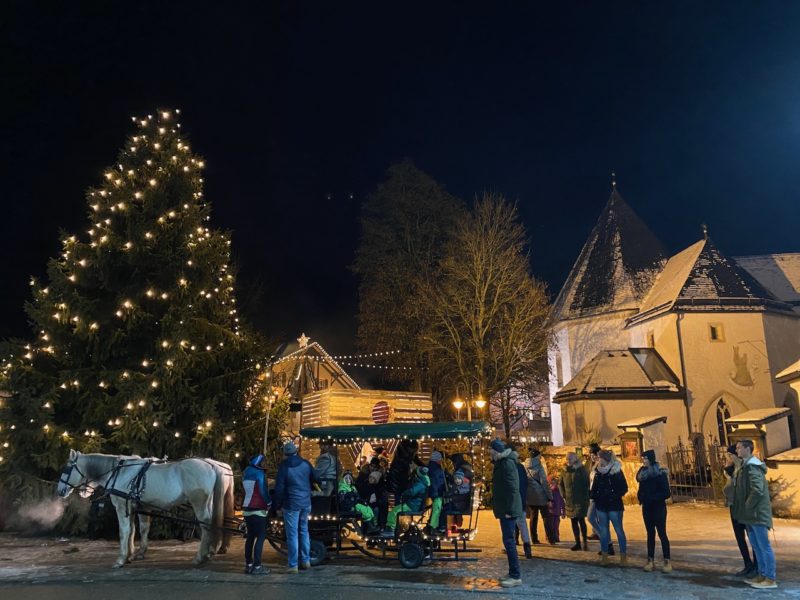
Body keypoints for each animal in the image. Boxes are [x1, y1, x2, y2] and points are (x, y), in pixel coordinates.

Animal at [56, 450, 220, 568]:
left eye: (67, 468)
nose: (60, 491)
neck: (118, 472)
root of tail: (211, 466)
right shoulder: (134, 507)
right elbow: (134, 530)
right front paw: (131, 555)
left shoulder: (121, 505)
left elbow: (124, 531)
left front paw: (121, 559)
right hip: (207, 503)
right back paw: (208, 553)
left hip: (199, 503)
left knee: (205, 525)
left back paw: (200, 557)